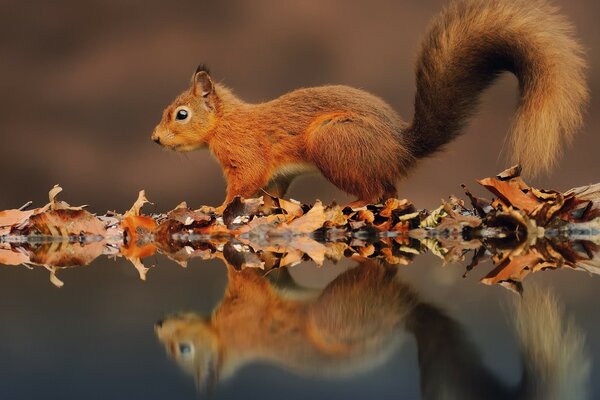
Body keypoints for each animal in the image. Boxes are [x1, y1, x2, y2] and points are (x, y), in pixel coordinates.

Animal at [150, 0, 584, 206]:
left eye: (181, 114)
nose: (154, 139)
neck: (225, 123)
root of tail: (401, 148)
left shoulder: (247, 155)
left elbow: (242, 186)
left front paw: (216, 209)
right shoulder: (275, 174)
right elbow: (272, 189)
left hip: (333, 143)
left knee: (376, 193)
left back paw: (351, 203)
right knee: (389, 191)